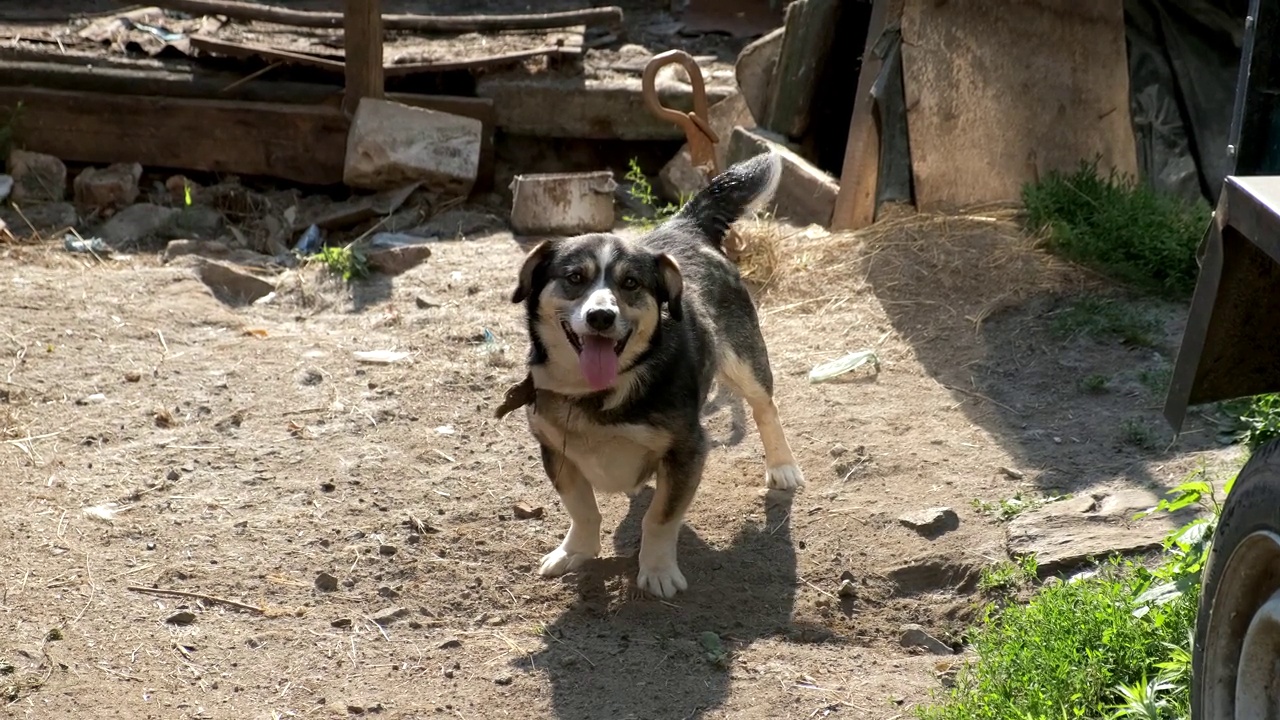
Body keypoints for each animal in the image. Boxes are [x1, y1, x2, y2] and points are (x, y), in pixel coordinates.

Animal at [506, 151, 798, 594]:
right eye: (575, 278)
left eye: (630, 283)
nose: (601, 316)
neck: (602, 392)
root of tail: (684, 225)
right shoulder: (555, 450)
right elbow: (582, 508)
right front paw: (576, 550)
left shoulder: (688, 450)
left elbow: (659, 519)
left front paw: (658, 571)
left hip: (744, 360)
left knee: (766, 407)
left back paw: (781, 465)